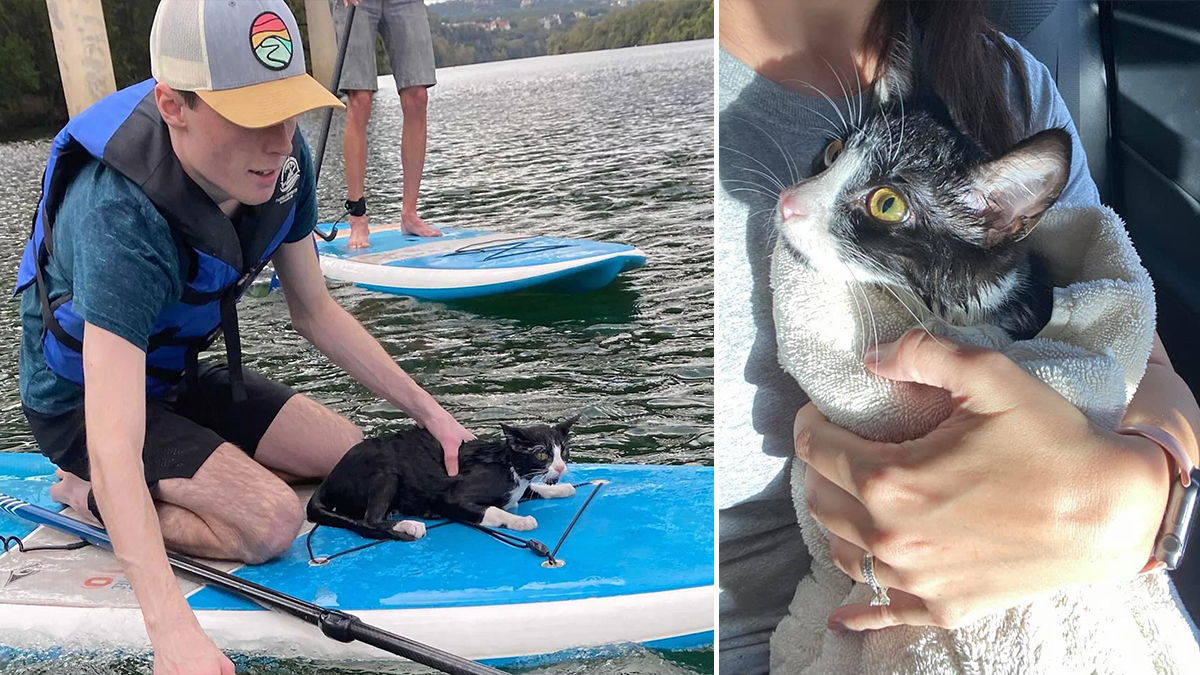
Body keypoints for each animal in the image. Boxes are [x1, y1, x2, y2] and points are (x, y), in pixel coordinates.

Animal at [304, 415, 576, 540]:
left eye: (562, 451)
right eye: (541, 454)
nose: (561, 468)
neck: (508, 466)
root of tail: (330, 478)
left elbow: (534, 490)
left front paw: (561, 489)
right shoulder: (450, 497)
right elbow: (492, 510)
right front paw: (520, 521)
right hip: (385, 472)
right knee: (368, 521)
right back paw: (409, 525)